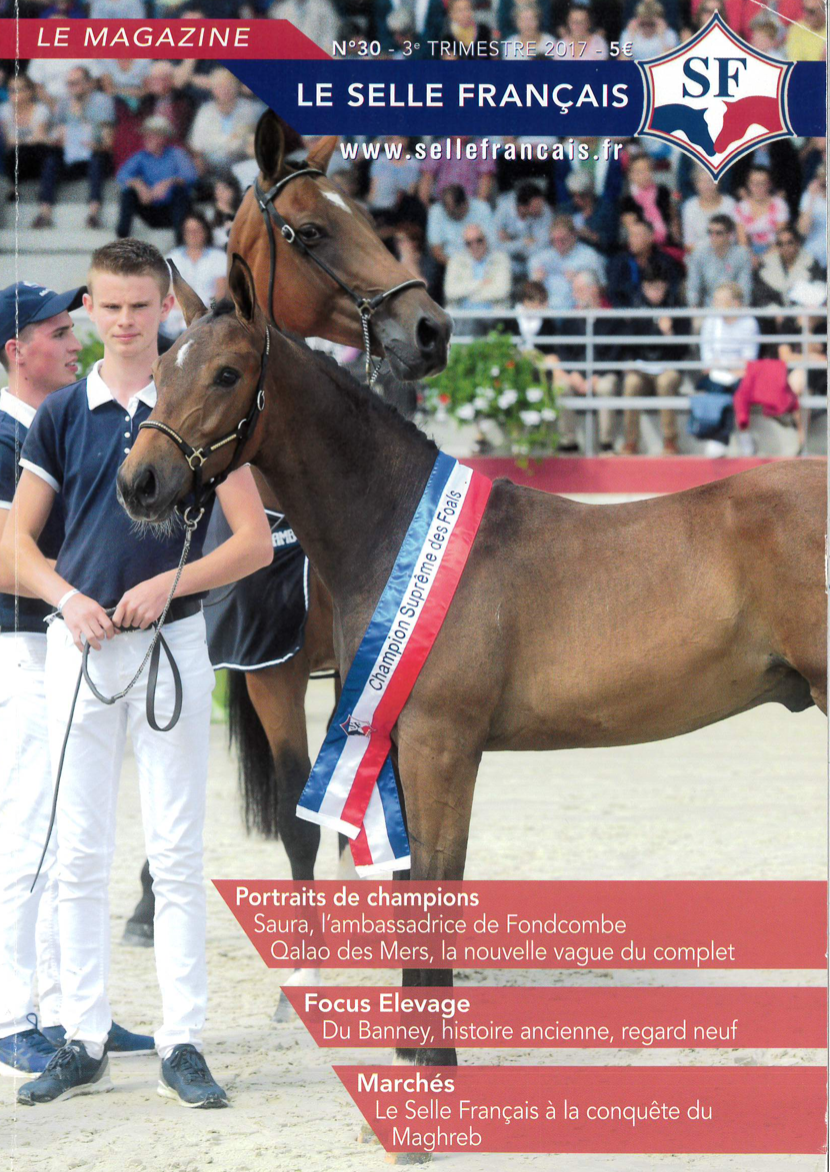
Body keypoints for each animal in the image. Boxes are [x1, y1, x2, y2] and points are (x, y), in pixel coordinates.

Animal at [120, 261, 825, 1073]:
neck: (398, 528)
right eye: (159, 372)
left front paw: (434, 1055)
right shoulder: (399, 740)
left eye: (227, 373)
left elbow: (437, 878)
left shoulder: (442, 745)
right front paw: (410, 1047)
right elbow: (411, 880)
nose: (139, 483)